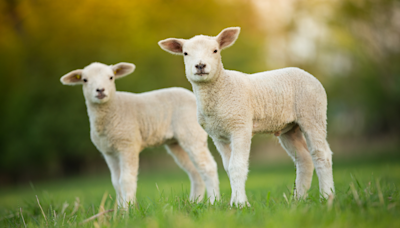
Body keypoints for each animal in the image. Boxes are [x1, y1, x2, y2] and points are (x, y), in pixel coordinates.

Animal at [61, 61, 220, 208]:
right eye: (85, 80)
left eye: (111, 77)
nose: (100, 90)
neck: (113, 109)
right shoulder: (109, 152)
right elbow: (116, 182)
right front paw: (119, 211)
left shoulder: (128, 145)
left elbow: (125, 180)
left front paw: (128, 210)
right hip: (176, 143)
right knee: (195, 172)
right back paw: (195, 202)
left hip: (191, 132)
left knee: (208, 167)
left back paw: (213, 201)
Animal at [159, 26, 334, 207]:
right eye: (185, 53)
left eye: (215, 50)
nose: (200, 65)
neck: (223, 86)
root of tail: (307, 74)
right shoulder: (218, 136)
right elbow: (228, 168)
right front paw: (235, 201)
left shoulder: (240, 126)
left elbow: (237, 166)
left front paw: (240, 204)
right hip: (289, 128)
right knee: (304, 159)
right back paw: (298, 199)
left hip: (313, 112)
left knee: (321, 155)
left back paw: (327, 197)